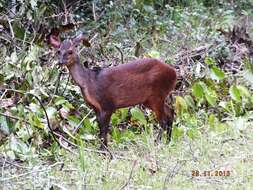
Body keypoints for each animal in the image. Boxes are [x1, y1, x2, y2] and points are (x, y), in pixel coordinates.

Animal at [48, 33, 177, 151]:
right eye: (58, 51)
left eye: (70, 51)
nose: (60, 62)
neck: (89, 82)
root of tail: (174, 73)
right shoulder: (96, 107)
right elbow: (100, 129)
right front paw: (101, 150)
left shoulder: (108, 105)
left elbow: (104, 130)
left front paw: (105, 152)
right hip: (150, 99)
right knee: (170, 112)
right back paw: (168, 142)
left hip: (157, 94)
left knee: (163, 121)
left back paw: (158, 144)